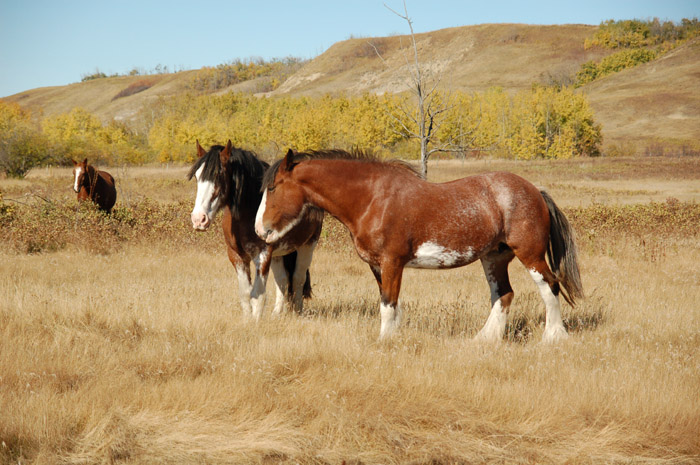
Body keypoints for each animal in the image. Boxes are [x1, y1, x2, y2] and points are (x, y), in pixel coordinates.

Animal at [189, 140, 326, 318]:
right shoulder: (237, 256)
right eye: (197, 177)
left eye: (219, 175)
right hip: (278, 254)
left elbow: (258, 294)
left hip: (307, 246)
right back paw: (276, 313)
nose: (199, 219)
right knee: (283, 279)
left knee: (297, 279)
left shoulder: (263, 254)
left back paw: (297, 312)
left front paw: (256, 321)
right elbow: (245, 293)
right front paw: (248, 320)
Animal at [254, 149, 584, 340]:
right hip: (494, 257)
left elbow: (388, 305)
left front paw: (385, 342)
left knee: (550, 287)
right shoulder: (378, 266)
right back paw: (484, 340)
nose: (260, 230)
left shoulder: (392, 262)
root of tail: (536, 191)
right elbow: (390, 303)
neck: (372, 198)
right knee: (503, 294)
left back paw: (554, 338)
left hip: (530, 255)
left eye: (272, 188)